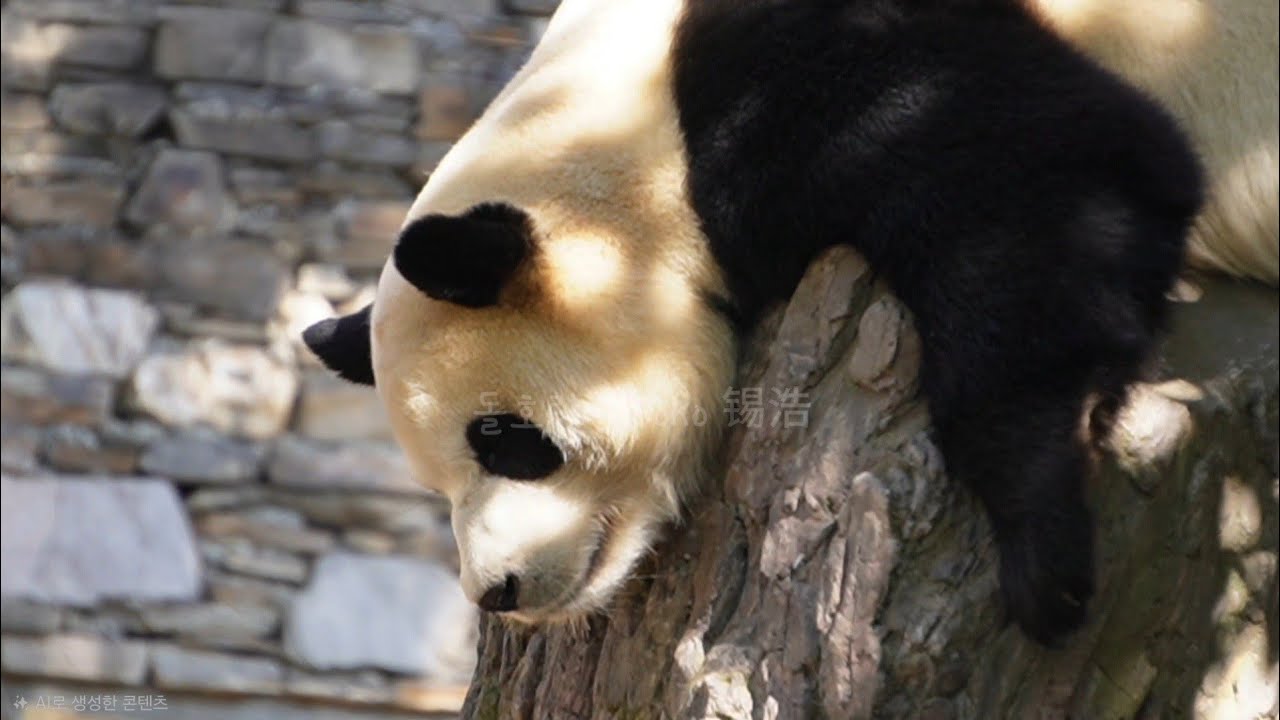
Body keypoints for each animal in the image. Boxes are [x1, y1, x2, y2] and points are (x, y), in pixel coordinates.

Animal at [304, 0, 1277, 645]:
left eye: (506, 439)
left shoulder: (823, 65)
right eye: (437, 486)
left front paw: (1044, 552)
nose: (495, 592)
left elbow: (1055, 177)